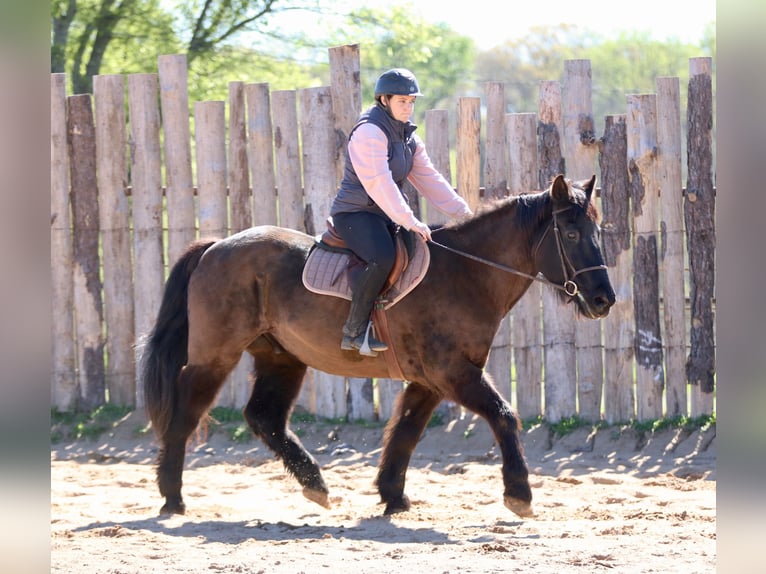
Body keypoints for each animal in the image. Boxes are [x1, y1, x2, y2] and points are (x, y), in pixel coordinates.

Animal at [140, 173, 615, 519]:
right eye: (571, 234)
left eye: (597, 229)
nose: (603, 299)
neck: (465, 273)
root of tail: (214, 247)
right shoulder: (454, 374)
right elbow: (503, 415)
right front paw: (519, 494)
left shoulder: (430, 382)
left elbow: (404, 433)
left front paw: (393, 496)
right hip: (214, 357)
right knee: (185, 413)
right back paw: (172, 496)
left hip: (282, 359)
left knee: (264, 417)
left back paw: (315, 484)